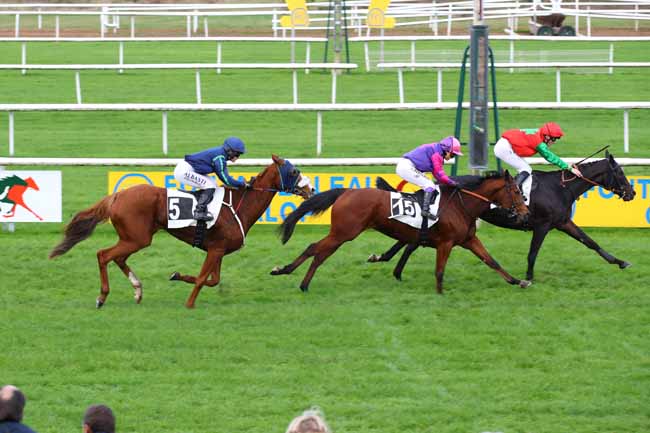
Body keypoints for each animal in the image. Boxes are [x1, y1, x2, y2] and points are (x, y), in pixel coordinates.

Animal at [49, 154, 312, 308]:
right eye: (293, 172)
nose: (310, 189)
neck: (239, 205)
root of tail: (117, 195)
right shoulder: (216, 249)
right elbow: (204, 279)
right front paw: (189, 304)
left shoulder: (218, 249)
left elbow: (212, 280)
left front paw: (176, 275)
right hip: (137, 238)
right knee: (103, 255)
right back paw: (102, 297)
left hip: (134, 238)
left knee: (118, 258)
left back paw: (137, 290)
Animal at [270, 170, 528, 294]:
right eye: (516, 191)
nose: (525, 214)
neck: (461, 204)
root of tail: (346, 191)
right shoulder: (445, 243)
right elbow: (439, 271)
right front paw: (440, 294)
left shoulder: (469, 239)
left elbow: (491, 261)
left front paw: (518, 281)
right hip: (344, 233)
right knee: (317, 251)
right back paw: (295, 278)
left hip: (342, 233)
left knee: (316, 250)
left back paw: (292, 276)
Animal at [370, 151, 632, 280]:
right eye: (619, 172)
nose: (632, 192)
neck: (560, 188)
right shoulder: (543, 225)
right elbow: (532, 253)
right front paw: (528, 277)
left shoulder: (563, 222)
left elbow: (590, 242)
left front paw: (620, 261)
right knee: (410, 239)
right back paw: (384, 259)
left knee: (410, 238)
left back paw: (386, 261)